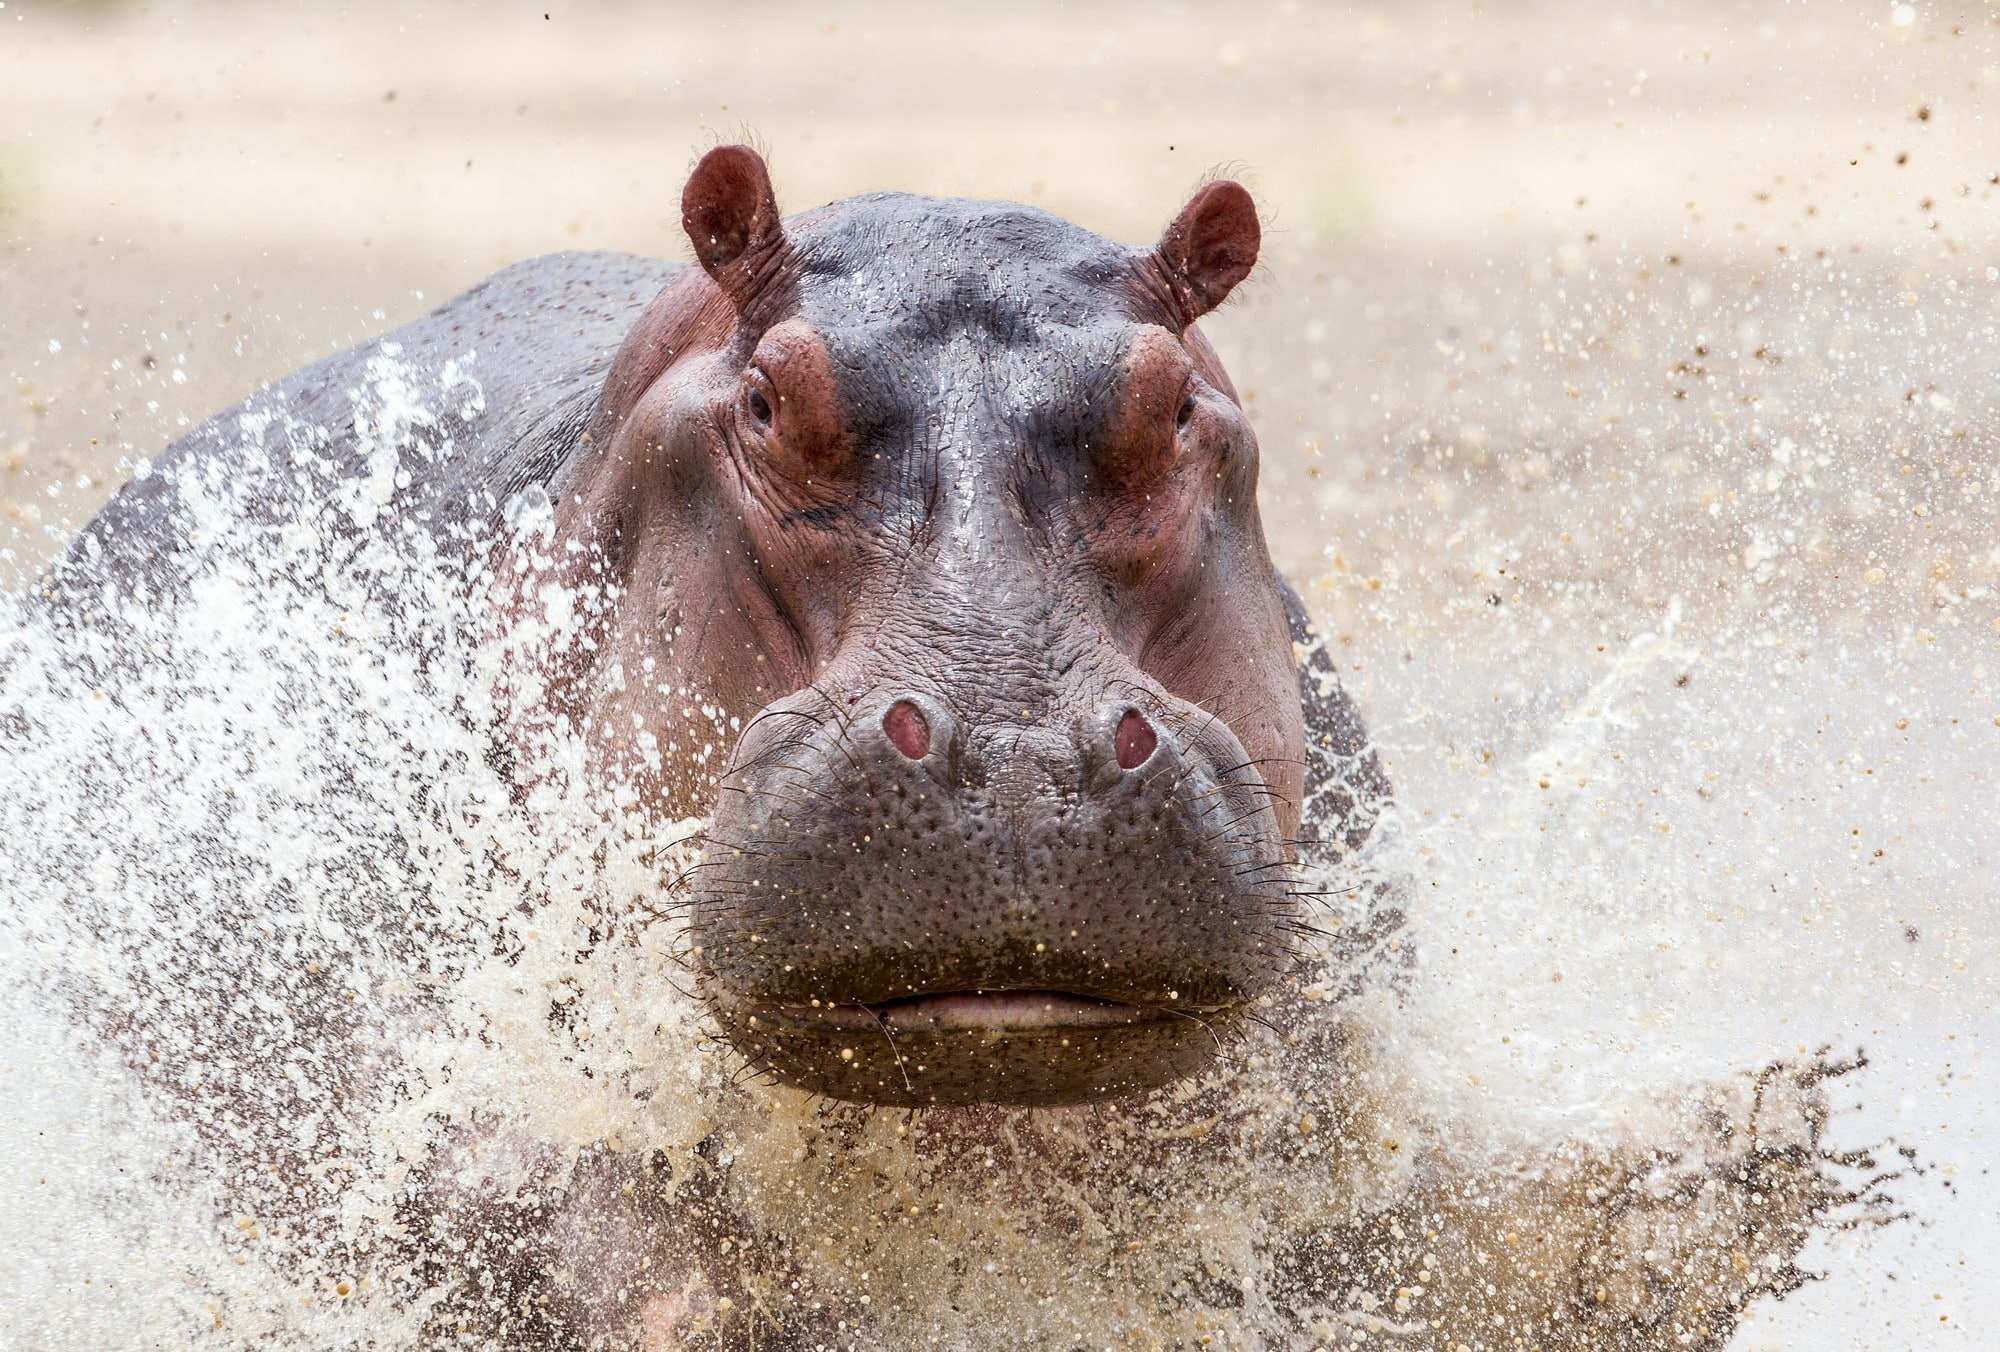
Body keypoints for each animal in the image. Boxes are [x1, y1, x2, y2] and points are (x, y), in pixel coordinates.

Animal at [27, 147, 1893, 1351]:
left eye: (1181, 403)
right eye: (765, 399)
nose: (1018, 753)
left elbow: (1420, 1234)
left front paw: (1740, 1165)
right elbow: (595, 1237)